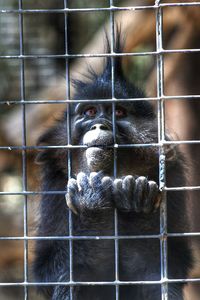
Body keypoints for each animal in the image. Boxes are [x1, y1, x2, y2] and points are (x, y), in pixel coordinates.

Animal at [33, 31, 193, 298]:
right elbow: (49, 270)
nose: (100, 124)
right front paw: (91, 205)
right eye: (89, 112)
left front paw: (136, 203)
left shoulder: (172, 172)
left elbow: (167, 268)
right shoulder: (55, 180)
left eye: (118, 113)